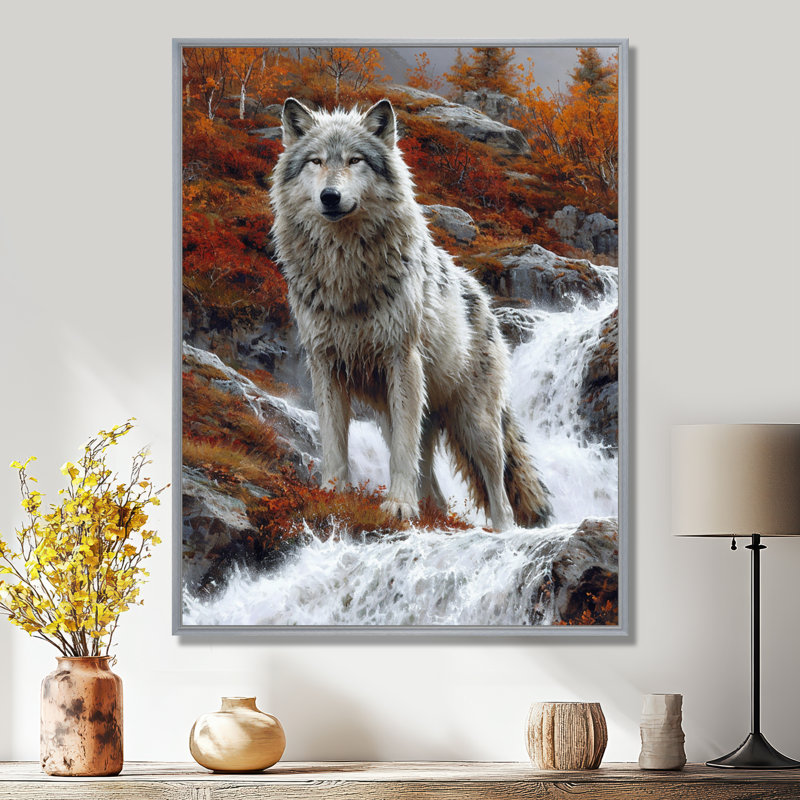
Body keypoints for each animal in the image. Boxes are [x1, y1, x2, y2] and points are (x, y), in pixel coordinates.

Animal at [270, 97, 552, 530]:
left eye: (354, 160)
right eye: (315, 161)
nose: (330, 196)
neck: (346, 275)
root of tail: (481, 296)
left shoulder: (402, 360)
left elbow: (403, 455)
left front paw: (399, 506)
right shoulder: (325, 365)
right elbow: (334, 443)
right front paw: (333, 495)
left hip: (475, 424)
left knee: (498, 491)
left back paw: (501, 532)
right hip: (402, 412)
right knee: (436, 489)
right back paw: (433, 515)